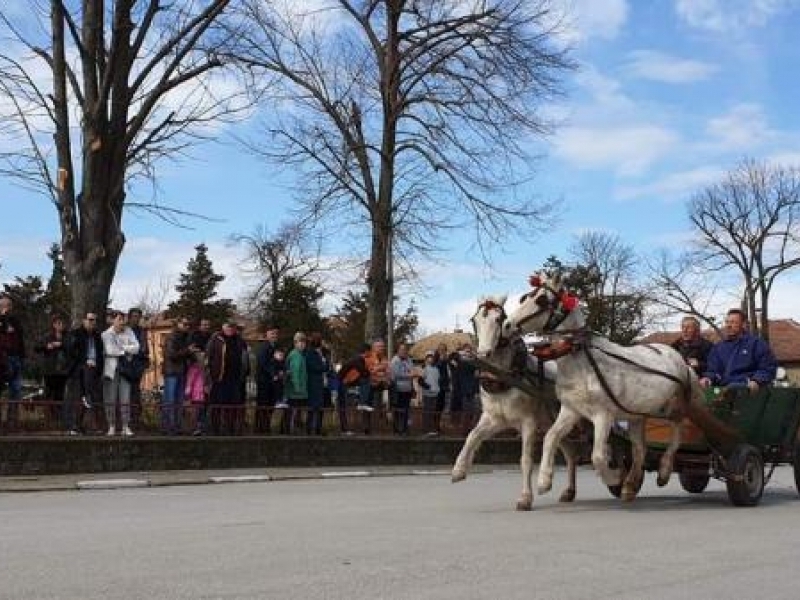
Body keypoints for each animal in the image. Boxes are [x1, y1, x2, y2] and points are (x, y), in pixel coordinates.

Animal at [454, 296, 580, 510]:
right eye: (474, 320)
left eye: (499, 319)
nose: (484, 353)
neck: (504, 378)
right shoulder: (494, 419)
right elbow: (472, 436)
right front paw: (459, 470)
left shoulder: (528, 421)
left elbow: (526, 460)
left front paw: (525, 498)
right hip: (552, 422)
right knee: (570, 451)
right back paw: (569, 492)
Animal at [504, 276, 704, 502]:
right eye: (524, 297)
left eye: (541, 300)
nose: (507, 325)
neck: (581, 360)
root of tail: (682, 360)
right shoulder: (571, 410)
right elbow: (550, 437)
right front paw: (544, 481)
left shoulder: (603, 416)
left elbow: (598, 456)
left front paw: (614, 478)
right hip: (636, 415)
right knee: (639, 449)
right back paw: (630, 485)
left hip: (672, 409)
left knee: (677, 433)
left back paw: (664, 471)